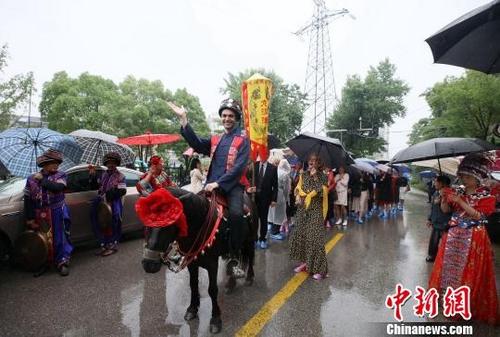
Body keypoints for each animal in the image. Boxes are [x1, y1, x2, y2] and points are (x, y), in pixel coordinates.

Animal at [142, 186, 256, 334]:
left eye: (168, 223)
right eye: (147, 223)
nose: (148, 264)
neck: (199, 224)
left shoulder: (212, 264)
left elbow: (212, 290)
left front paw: (215, 319)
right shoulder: (192, 263)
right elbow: (193, 285)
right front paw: (192, 309)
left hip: (250, 241)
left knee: (250, 257)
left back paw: (249, 278)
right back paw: (231, 283)